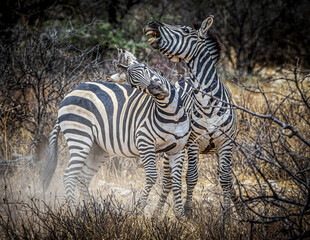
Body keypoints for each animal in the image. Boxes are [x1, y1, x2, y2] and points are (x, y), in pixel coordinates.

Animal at [42, 49, 190, 217]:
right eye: (134, 84)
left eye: (146, 68)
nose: (157, 89)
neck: (171, 113)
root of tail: (69, 93)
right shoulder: (145, 141)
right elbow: (152, 176)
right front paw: (138, 210)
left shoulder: (178, 148)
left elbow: (177, 181)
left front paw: (181, 216)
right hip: (79, 136)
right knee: (69, 177)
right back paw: (76, 213)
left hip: (97, 148)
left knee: (83, 178)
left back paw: (91, 211)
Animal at [143, 15, 245, 218]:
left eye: (185, 30)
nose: (152, 23)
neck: (207, 102)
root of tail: (183, 79)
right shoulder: (193, 142)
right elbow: (191, 177)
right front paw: (188, 211)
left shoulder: (226, 142)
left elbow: (226, 179)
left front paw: (228, 216)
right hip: (173, 145)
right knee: (168, 180)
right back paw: (158, 213)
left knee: (227, 177)